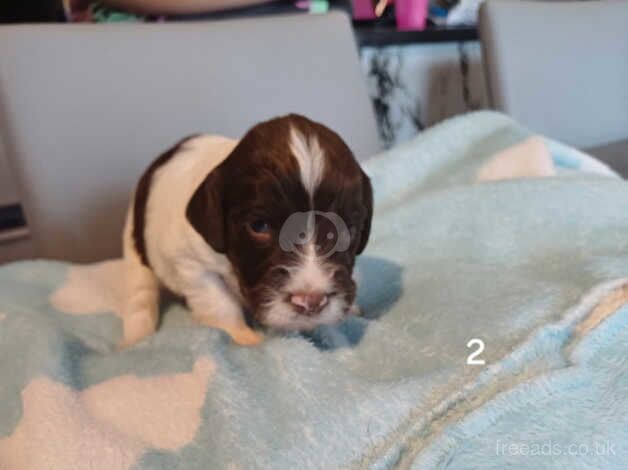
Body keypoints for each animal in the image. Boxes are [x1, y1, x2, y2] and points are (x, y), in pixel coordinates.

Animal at [120, 114, 370, 346]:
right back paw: (135, 339)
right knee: (141, 297)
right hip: (136, 254)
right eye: (259, 226)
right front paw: (243, 337)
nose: (311, 301)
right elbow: (219, 302)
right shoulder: (192, 263)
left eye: (348, 230)